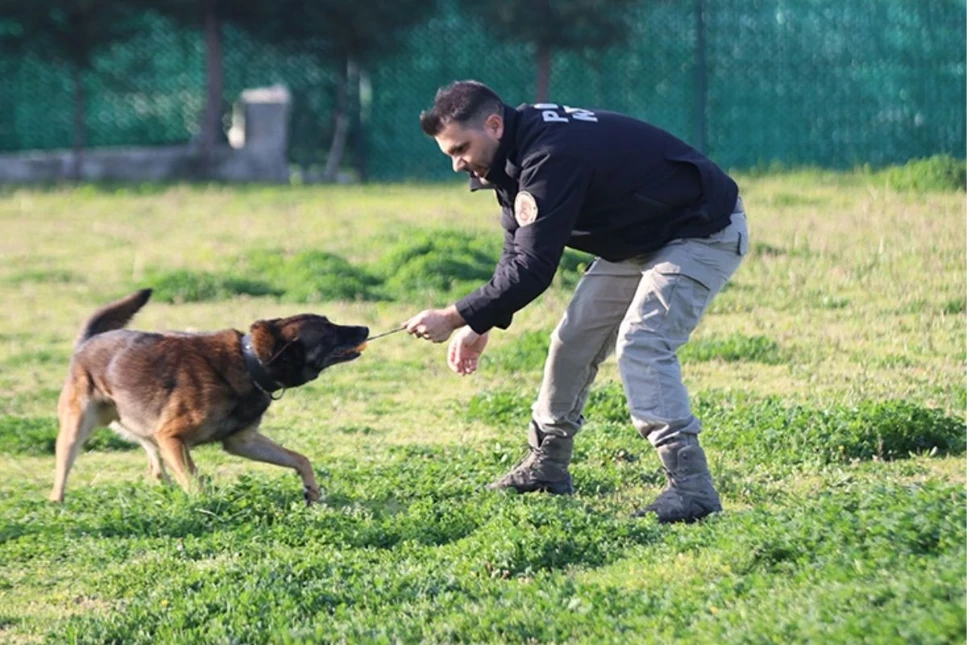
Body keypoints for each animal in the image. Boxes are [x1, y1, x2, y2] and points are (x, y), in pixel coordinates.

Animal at [49, 290, 368, 506]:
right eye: (328, 329)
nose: (365, 328)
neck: (249, 362)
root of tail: (88, 341)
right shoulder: (172, 438)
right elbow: (195, 482)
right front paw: (206, 508)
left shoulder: (242, 442)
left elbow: (300, 458)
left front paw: (312, 492)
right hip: (76, 429)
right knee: (62, 472)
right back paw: (57, 504)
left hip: (145, 430)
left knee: (156, 468)